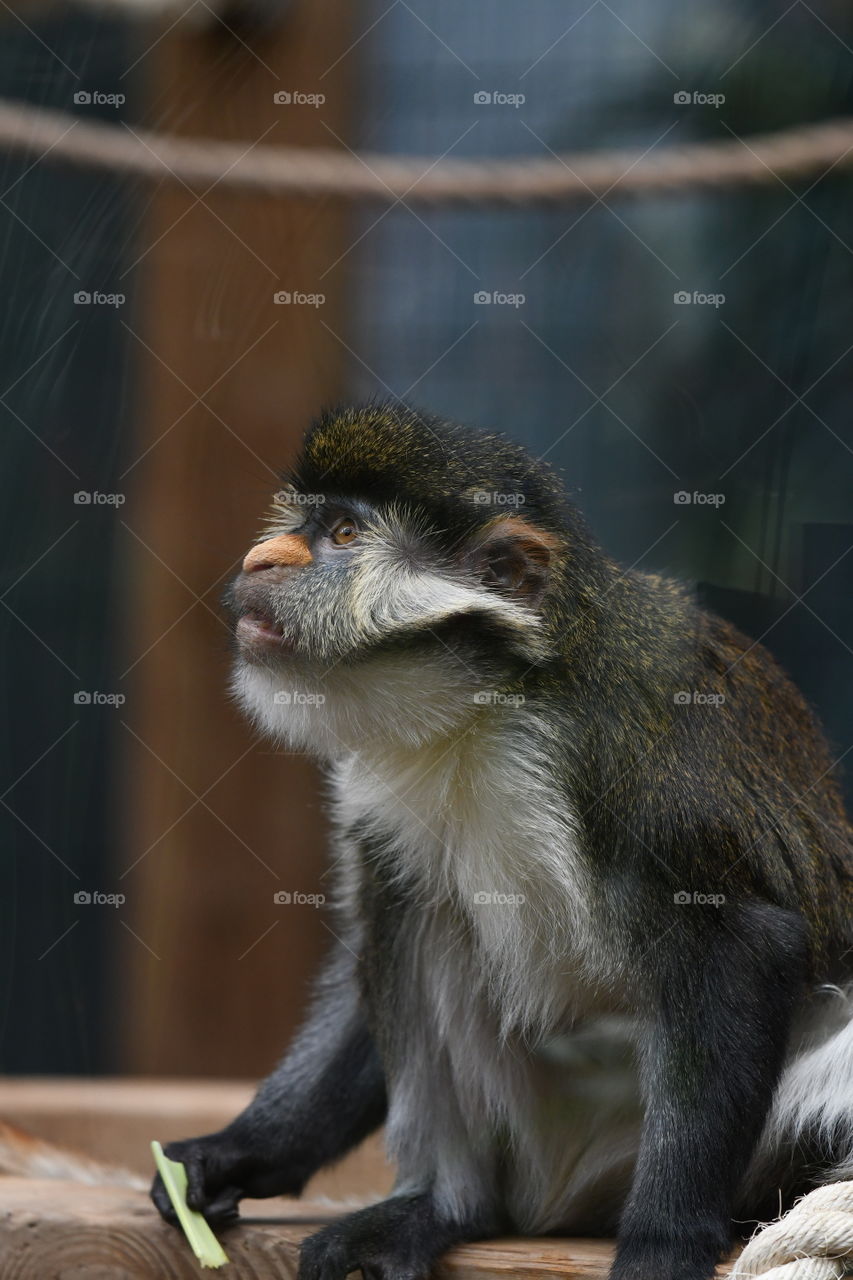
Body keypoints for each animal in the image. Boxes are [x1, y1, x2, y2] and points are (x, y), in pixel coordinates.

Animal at [151, 403, 853, 1280]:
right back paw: (441, 1205)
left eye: (344, 534)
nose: (260, 557)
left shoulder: (632, 764)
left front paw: (664, 1241)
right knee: (414, 910)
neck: (483, 701)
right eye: (306, 521)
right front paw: (245, 1150)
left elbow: (742, 939)